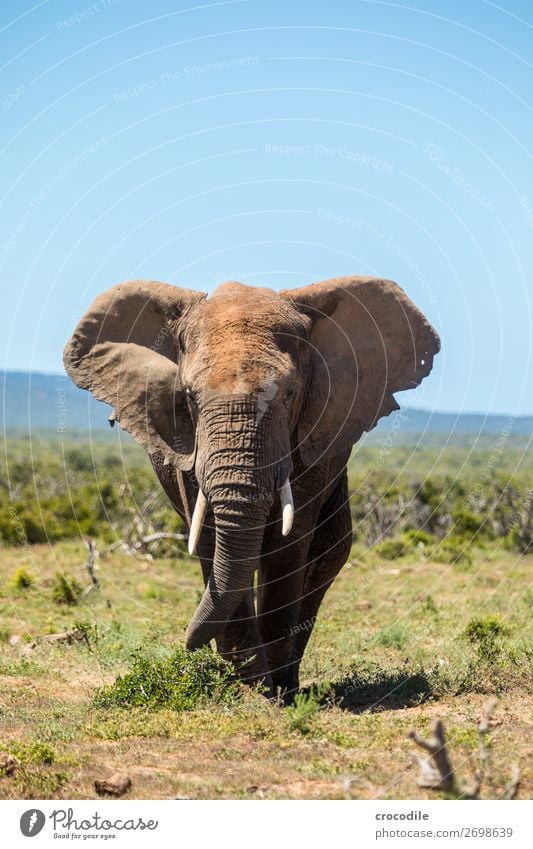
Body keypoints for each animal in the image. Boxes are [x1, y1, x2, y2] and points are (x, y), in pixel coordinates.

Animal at [64, 274, 438, 700]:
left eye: (290, 394)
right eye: (189, 396)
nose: (186, 645)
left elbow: (288, 544)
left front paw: (276, 693)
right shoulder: (188, 446)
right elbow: (211, 538)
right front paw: (251, 688)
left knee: (329, 554)